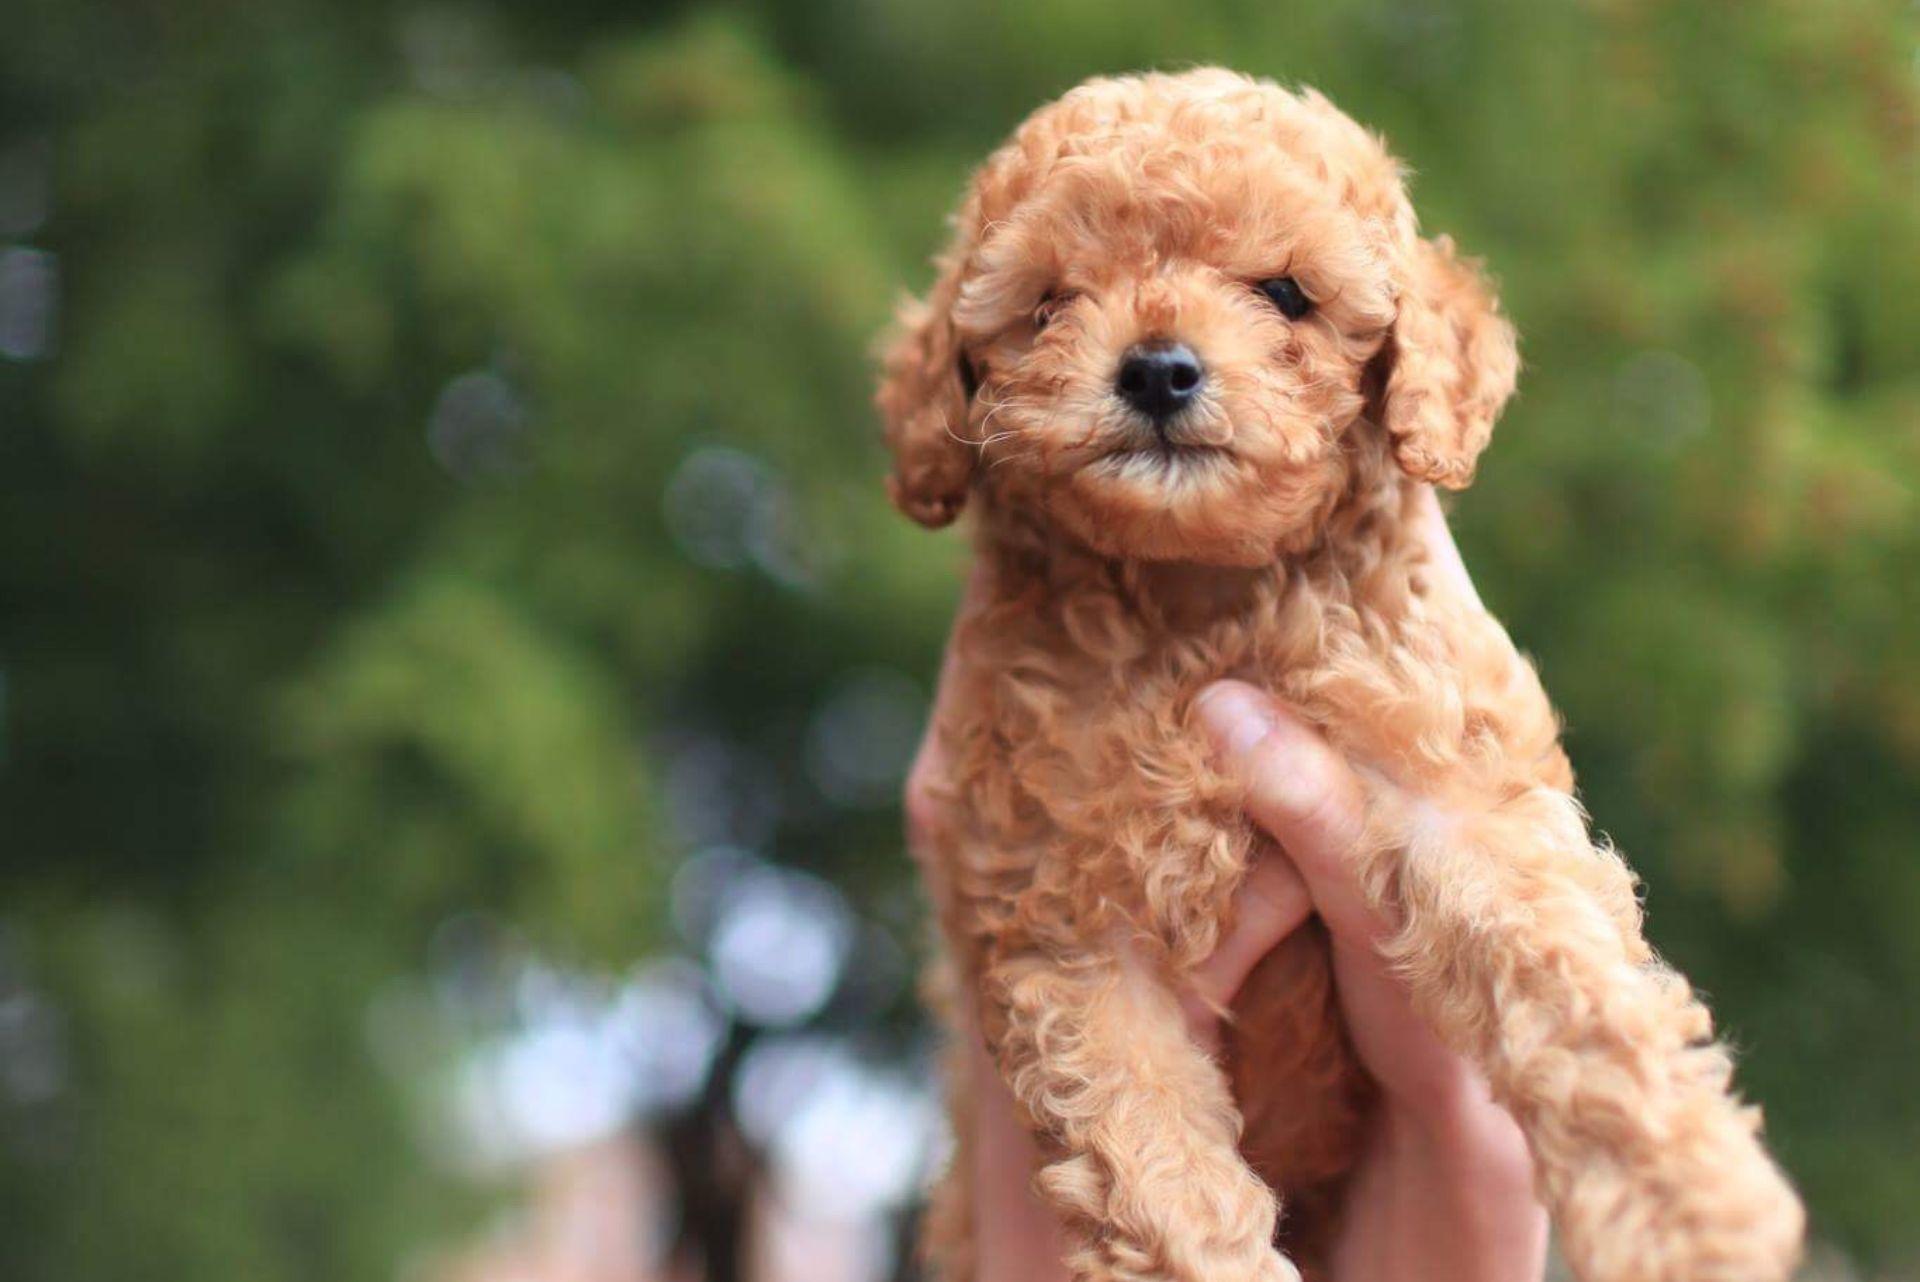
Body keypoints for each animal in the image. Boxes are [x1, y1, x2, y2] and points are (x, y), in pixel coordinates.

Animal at [879, 67, 1804, 1282]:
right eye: (1050, 301)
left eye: (1285, 293)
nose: (1158, 368)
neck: (1202, 602)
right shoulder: (1059, 915)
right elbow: (1150, 1150)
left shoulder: (1453, 777)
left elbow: (1579, 994)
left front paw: (1695, 1209)